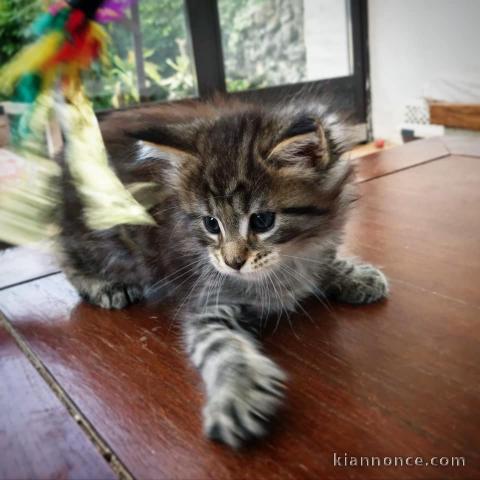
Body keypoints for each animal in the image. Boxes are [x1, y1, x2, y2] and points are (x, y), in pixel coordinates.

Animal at [58, 96, 388, 446]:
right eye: (211, 224)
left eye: (262, 221)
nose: (233, 262)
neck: (288, 262)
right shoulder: (209, 300)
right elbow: (223, 348)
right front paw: (237, 396)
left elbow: (323, 261)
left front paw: (352, 274)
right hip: (105, 242)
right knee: (66, 254)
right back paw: (104, 285)